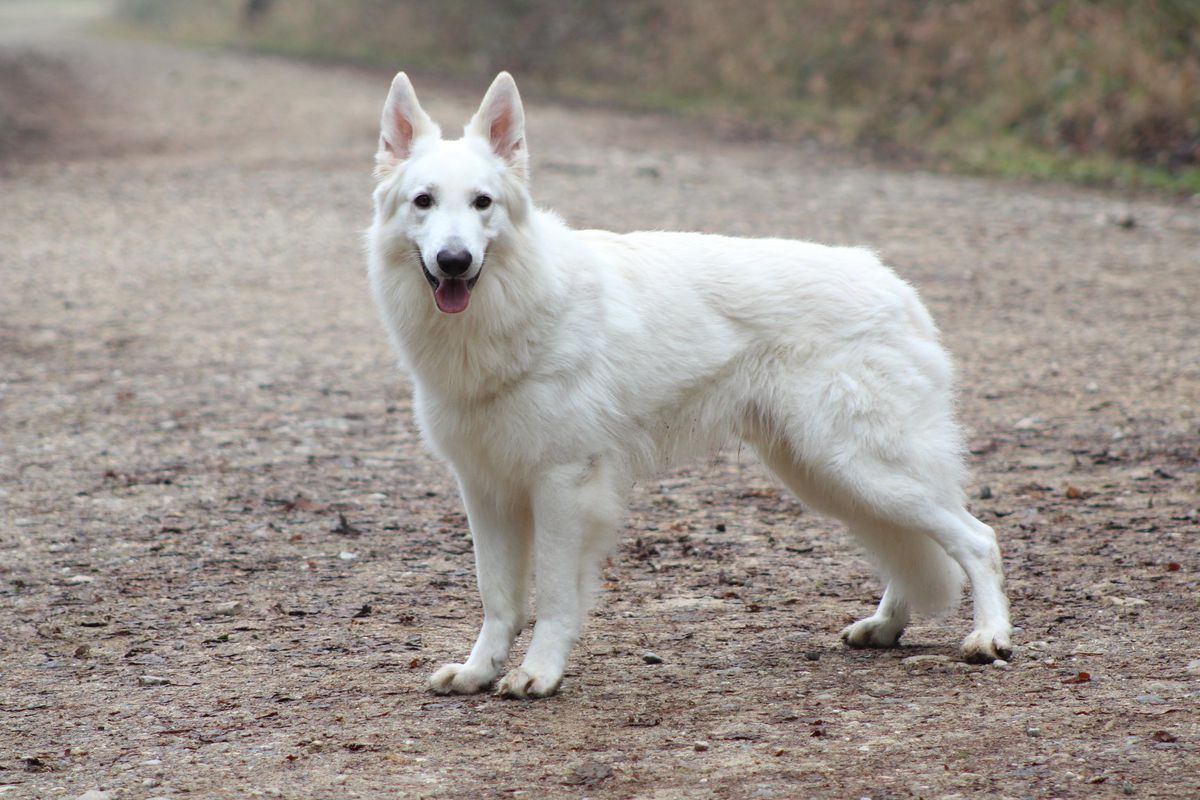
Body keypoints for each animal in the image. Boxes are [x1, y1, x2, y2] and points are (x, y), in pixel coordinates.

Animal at [364, 74, 1012, 700]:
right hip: (827, 475)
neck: (516, 301)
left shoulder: (563, 484)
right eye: (423, 201)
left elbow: (552, 598)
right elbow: (498, 599)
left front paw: (539, 674)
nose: (454, 260)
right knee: (909, 547)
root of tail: (895, 284)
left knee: (977, 540)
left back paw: (989, 637)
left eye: (483, 202)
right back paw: (887, 625)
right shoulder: (486, 488)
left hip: (859, 466)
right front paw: (479, 672)